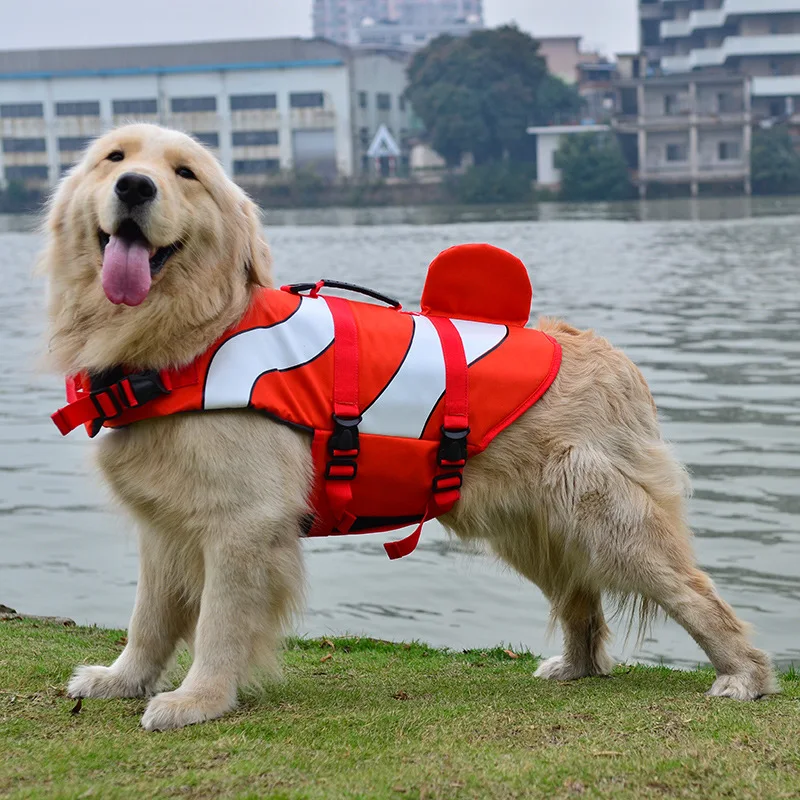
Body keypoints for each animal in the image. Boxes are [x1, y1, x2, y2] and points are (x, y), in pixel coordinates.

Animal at [37, 123, 776, 732]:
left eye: (185, 172)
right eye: (114, 158)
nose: (135, 186)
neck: (187, 340)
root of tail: (611, 355)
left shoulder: (243, 525)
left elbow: (218, 623)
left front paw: (199, 700)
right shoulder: (165, 525)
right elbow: (149, 618)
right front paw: (122, 679)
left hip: (603, 516)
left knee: (693, 591)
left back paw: (744, 674)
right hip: (532, 527)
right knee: (580, 601)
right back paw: (577, 665)